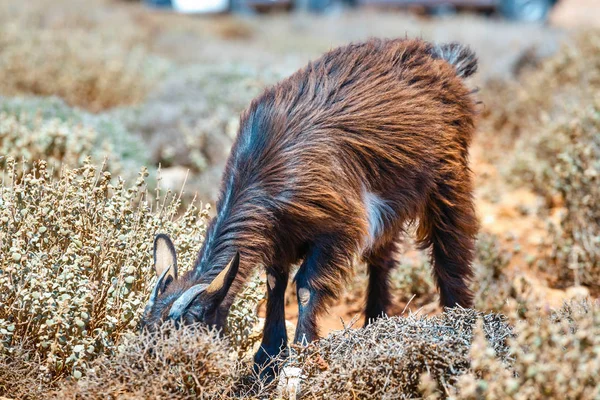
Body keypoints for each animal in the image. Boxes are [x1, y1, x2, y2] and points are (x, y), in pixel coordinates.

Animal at [139, 37, 478, 378]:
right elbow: (275, 285)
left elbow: (305, 287)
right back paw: (375, 323)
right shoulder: (278, 236)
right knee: (383, 259)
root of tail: (438, 55)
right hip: (392, 199)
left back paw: (457, 320)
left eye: (184, 341)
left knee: (450, 247)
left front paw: (301, 355)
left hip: (448, 176)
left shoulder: (339, 229)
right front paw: (267, 358)